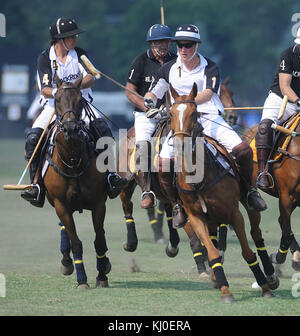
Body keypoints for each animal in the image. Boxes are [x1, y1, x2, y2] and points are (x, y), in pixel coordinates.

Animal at [43, 75, 111, 290]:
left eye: (80, 100)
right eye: (56, 99)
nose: (71, 128)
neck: (73, 161)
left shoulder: (99, 204)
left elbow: (99, 240)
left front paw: (102, 275)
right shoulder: (61, 205)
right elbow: (76, 243)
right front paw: (82, 279)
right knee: (65, 231)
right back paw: (66, 262)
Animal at [169, 83, 276, 302]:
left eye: (194, 114)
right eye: (171, 113)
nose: (180, 146)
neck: (199, 178)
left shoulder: (234, 213)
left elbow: (247, 252)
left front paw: (264, 287)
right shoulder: (196, 217)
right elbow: (212, 253)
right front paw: (225, 289)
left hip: (248, 204)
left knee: (256, 234)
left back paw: (270, 276)